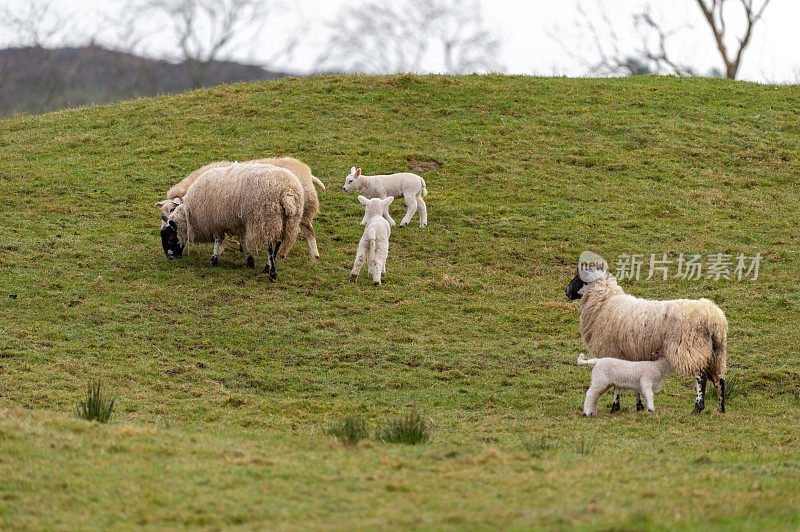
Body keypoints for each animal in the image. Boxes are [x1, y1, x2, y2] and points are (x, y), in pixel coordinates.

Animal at [159, 163, 304, 280]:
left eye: (171, 238)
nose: (170, 258)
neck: (190, 214)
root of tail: (287, 192)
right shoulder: (237, 223)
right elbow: (242, 240)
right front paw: (249, 260)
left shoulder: (215, 222)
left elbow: (217, 240)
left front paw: (213, 260)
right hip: (288, 220)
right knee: (277, 243)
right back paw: (268, 267)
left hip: (266, 219)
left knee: (269, 245)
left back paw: (271, 272)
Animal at [564, 268, 728, 414]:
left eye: (579, 277)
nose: (566, 291)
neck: (605, 302)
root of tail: (712, 316)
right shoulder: (630, 356)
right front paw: (639, 406)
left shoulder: (612, 352)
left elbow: (617, 384)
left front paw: (615, 407)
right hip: (715, 353)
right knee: (719, 380)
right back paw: (720, 409)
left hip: (690, 348)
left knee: (701, 377)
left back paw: (698, 408)